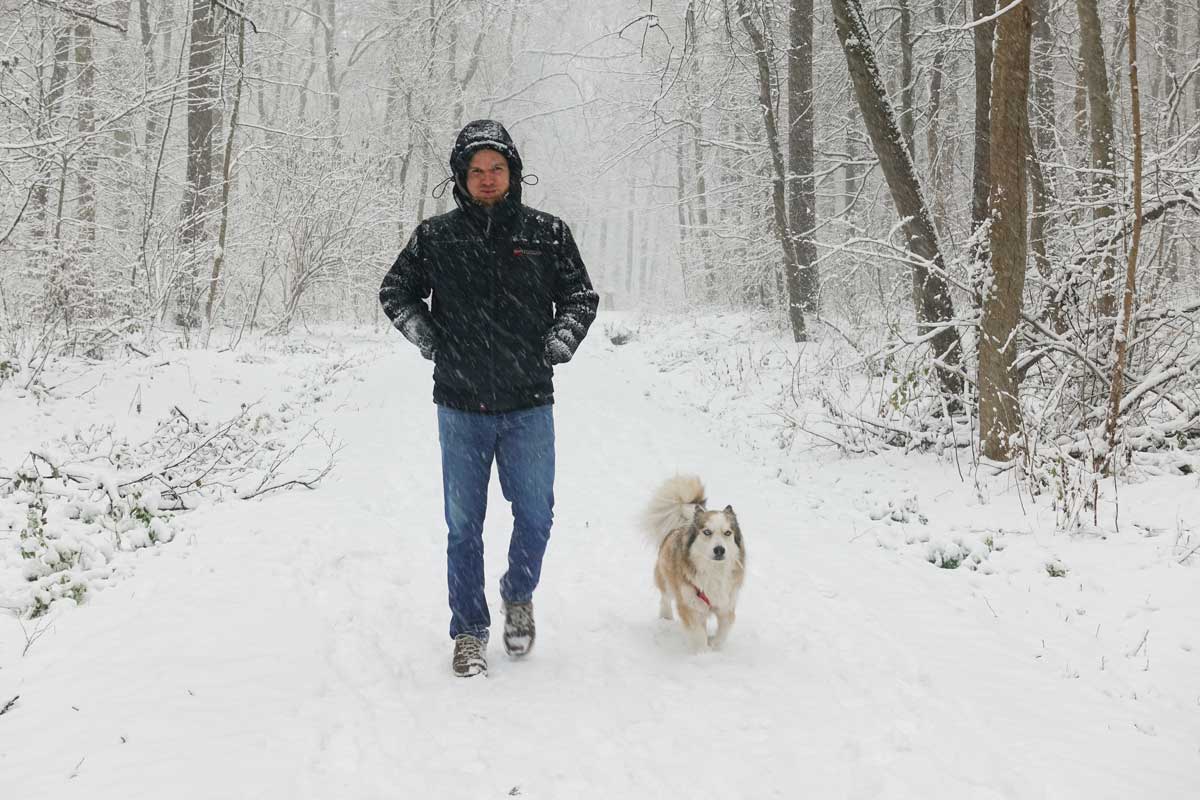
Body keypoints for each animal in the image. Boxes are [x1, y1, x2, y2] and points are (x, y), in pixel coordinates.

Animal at [643, 474, 744, 652]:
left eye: (727, 533)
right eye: (707, 532)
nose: (719, 550)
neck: (713, 571)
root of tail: (682, 523)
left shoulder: (726, 604)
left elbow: (724, 630)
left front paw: (714, 646)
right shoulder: (690, 606)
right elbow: (698, 635)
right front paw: (703, 654)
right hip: (666, 578)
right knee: (665, 597)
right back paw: (666, 617)